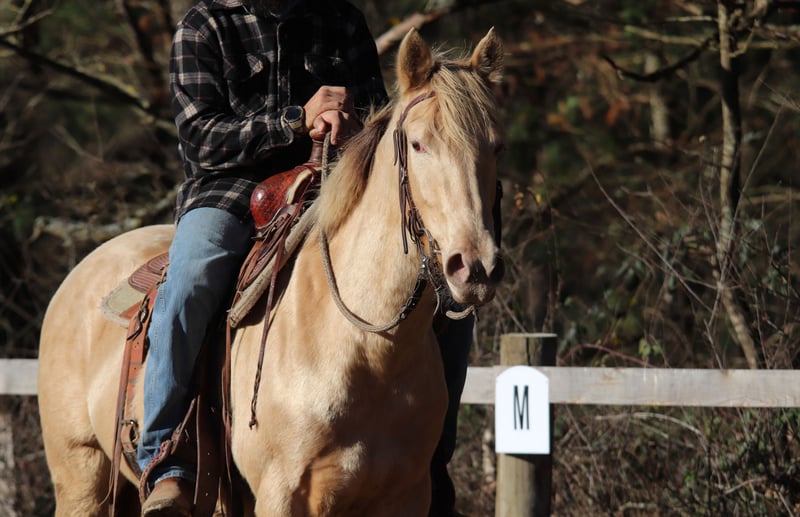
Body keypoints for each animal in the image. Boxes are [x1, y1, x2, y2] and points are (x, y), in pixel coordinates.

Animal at [38, 28, 505, 516]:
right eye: (418, 144)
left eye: (497, 146)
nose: (475, 267)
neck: (365, 348)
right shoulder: (283, 493)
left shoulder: (406, 496)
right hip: (81, 480)